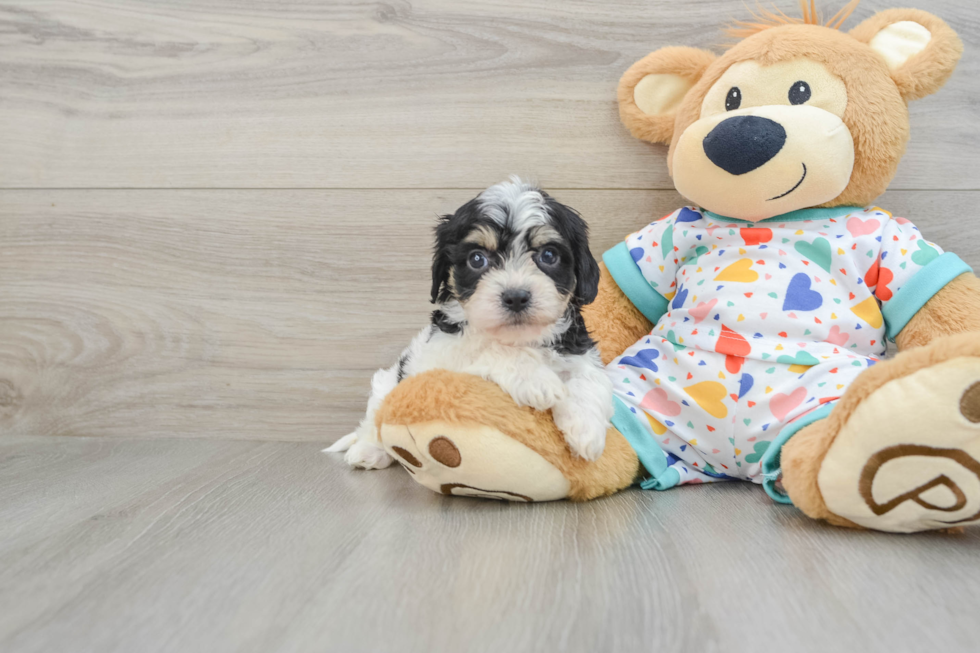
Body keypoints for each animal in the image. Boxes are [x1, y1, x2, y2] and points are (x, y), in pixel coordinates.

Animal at [328, 176, 612, 466]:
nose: (516, 297)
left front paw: (587, 431)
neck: (519, 339)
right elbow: (484, 348)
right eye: (477, 259)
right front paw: (537, 380)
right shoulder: (441, 358)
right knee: (373, 419)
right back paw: (369, 450)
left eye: (548, 256)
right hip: (388, 383)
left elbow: (589, 377)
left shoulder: (577, 349)